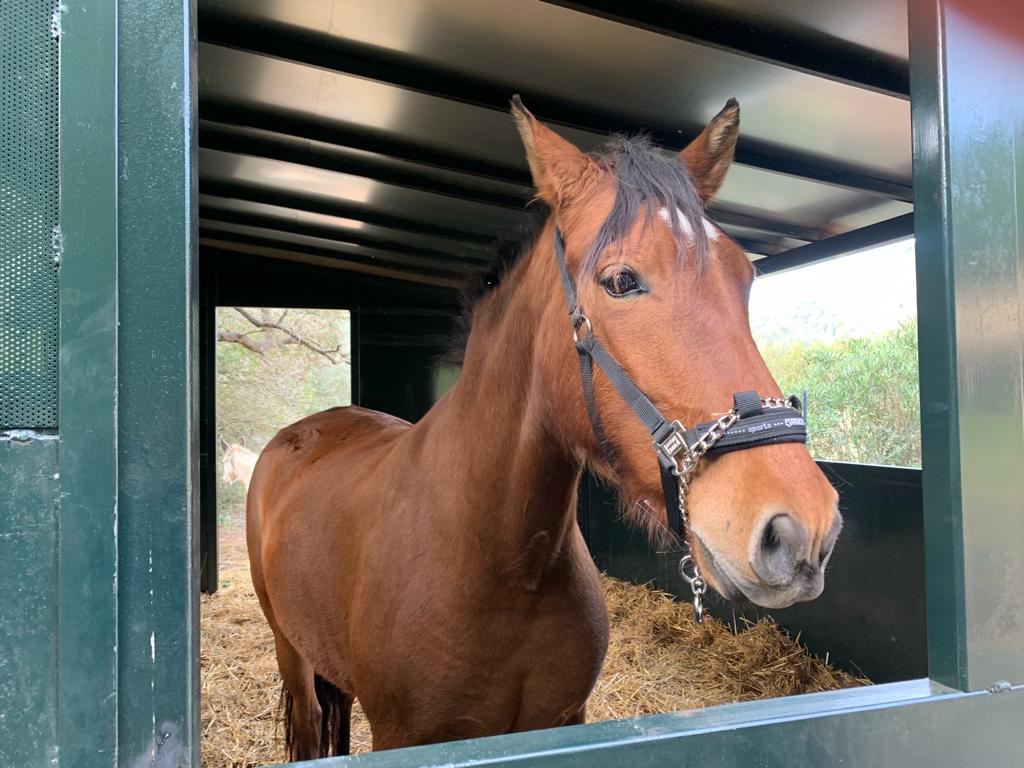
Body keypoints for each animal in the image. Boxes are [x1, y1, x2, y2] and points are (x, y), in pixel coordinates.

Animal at [247, 99, 839, 761]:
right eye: (620, 280)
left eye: (746, 278)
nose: (800, 529)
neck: (504, 564)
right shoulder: (405, 735)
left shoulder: (562, 719)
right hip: (290, 651)